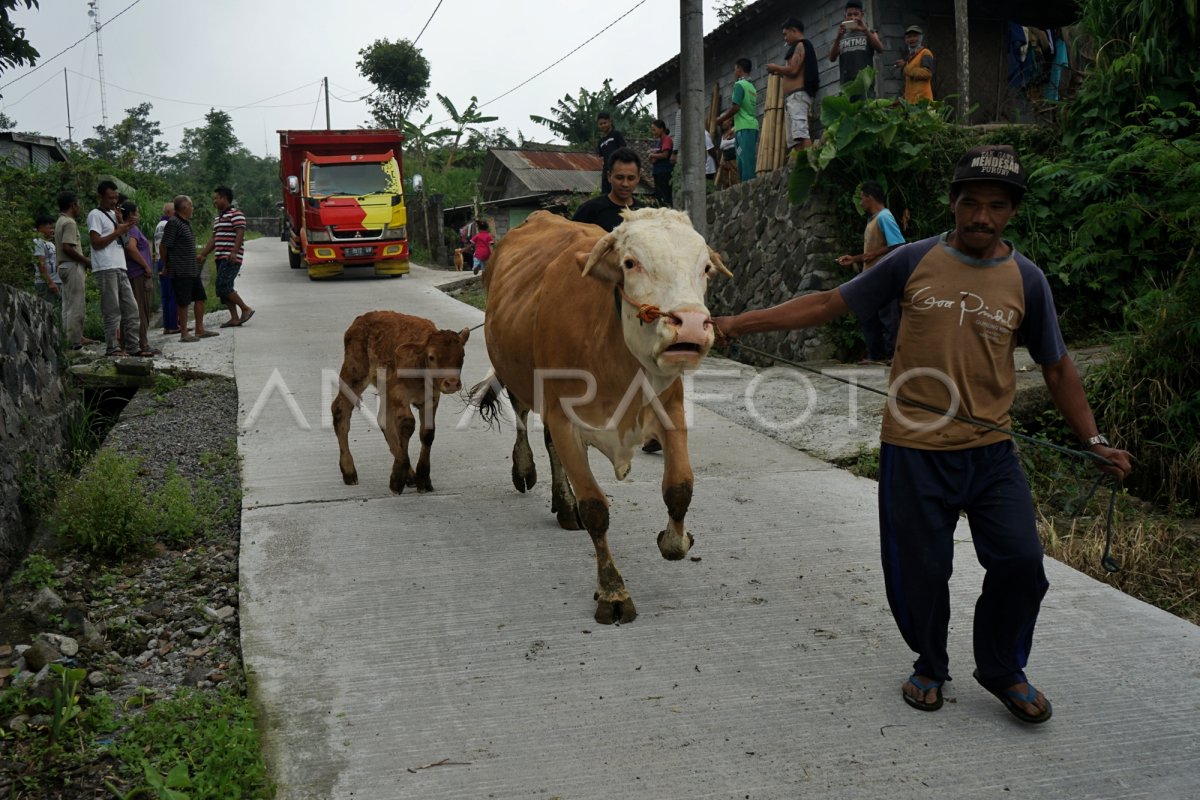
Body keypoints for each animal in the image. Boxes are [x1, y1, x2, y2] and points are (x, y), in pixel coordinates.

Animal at [338, 311, 472, 494]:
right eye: (431, 357)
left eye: (462, 356)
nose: (451, 383)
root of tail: (361, 319)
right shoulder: (398, 392)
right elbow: (407, 424)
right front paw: (397, 479)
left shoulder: (432, 398)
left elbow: (427, 432)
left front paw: (423, 479)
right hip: (354, 374)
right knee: (340, 410)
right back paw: (349, 471)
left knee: (384, 421)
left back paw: (411, 476)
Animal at [470, 206, 729, 623]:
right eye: (630, 262)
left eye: (705, 267)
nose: (690, 325)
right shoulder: (564, 420)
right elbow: (595, 509)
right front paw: (612, 591)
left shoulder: (670, 409)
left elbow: (680, 489)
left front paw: (674, 540)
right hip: (517, 374)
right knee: (524, 420)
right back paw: (526, 471)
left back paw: (563, 505)